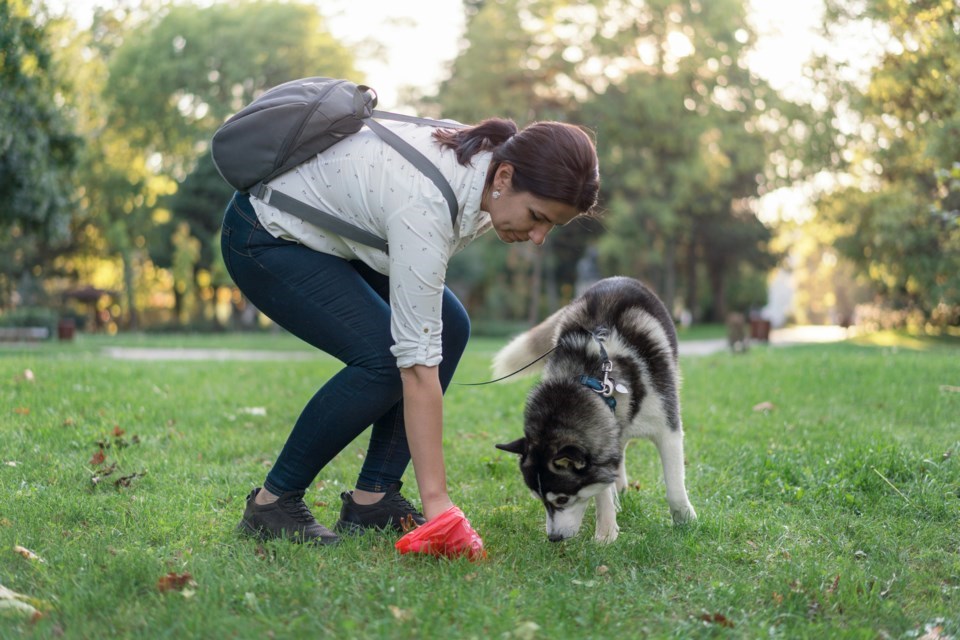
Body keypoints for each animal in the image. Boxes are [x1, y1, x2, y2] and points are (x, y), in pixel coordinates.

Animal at [496, 278, 696, 544]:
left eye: (562, 499)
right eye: (539, 500)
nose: (554, 538)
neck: (593, 381)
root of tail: (616, 278)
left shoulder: (667, 428)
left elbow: (674, 483)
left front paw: (685, 520)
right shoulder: (604, 441)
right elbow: (601, 489)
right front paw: (606, 532)